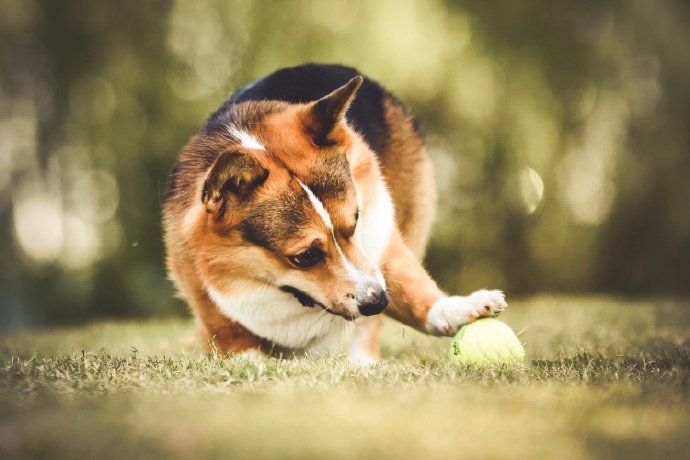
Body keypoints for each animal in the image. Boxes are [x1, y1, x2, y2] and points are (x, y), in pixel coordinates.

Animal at [163, 63, 506, 362]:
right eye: (304, 257)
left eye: (354, 222)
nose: (379, 301)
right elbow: (233, 342)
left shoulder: (378, 243)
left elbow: (413, 290)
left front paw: (462, 308)